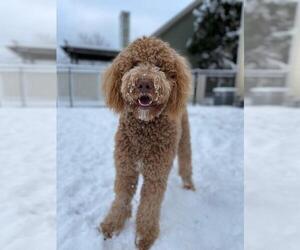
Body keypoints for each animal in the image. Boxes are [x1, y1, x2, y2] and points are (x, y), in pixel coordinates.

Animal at [99, 36, 196, 250]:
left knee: (186, 162)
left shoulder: (156, 174)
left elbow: (149, 205)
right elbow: (121, 198)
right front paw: (112, 224)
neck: (144, 130)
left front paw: (145, 236)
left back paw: (189, 185)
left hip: (184, 139)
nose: (144, 83)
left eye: (159, 66)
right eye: (134, 64)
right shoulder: (126, 167)